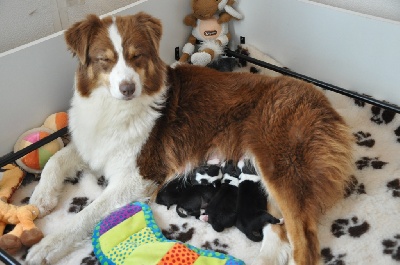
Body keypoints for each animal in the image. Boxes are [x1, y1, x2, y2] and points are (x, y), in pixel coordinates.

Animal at [26, 11, 354, 264]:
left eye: (136, 56)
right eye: (103, 60)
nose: (128, 89)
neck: (112, 106)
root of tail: (326, 105)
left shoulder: (140, 175)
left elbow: (87, 213)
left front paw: (46, 246)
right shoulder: (92, 142)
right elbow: (56, 159)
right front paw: (41, 198)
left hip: (280, 166)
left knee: (304, 242)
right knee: (279, 229)